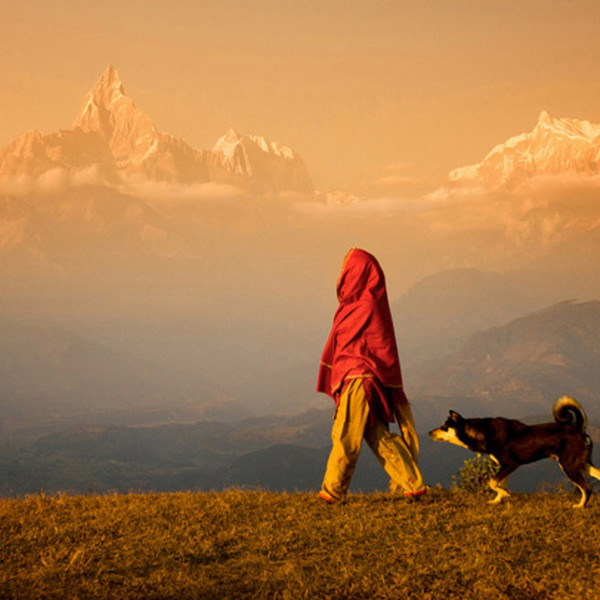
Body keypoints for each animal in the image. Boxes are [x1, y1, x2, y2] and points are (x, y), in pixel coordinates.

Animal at [426, 396, 600, 508]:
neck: (481, 432)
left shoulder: (510, 464)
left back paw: (580, 506)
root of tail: (578, 427)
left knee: (587, 488)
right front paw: (497, 500)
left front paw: (505, 494)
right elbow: (498, 483)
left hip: (568, 465)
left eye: (444, 427)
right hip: (581, 464)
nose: (429, 433)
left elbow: (492, 482)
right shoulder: (505, 467)